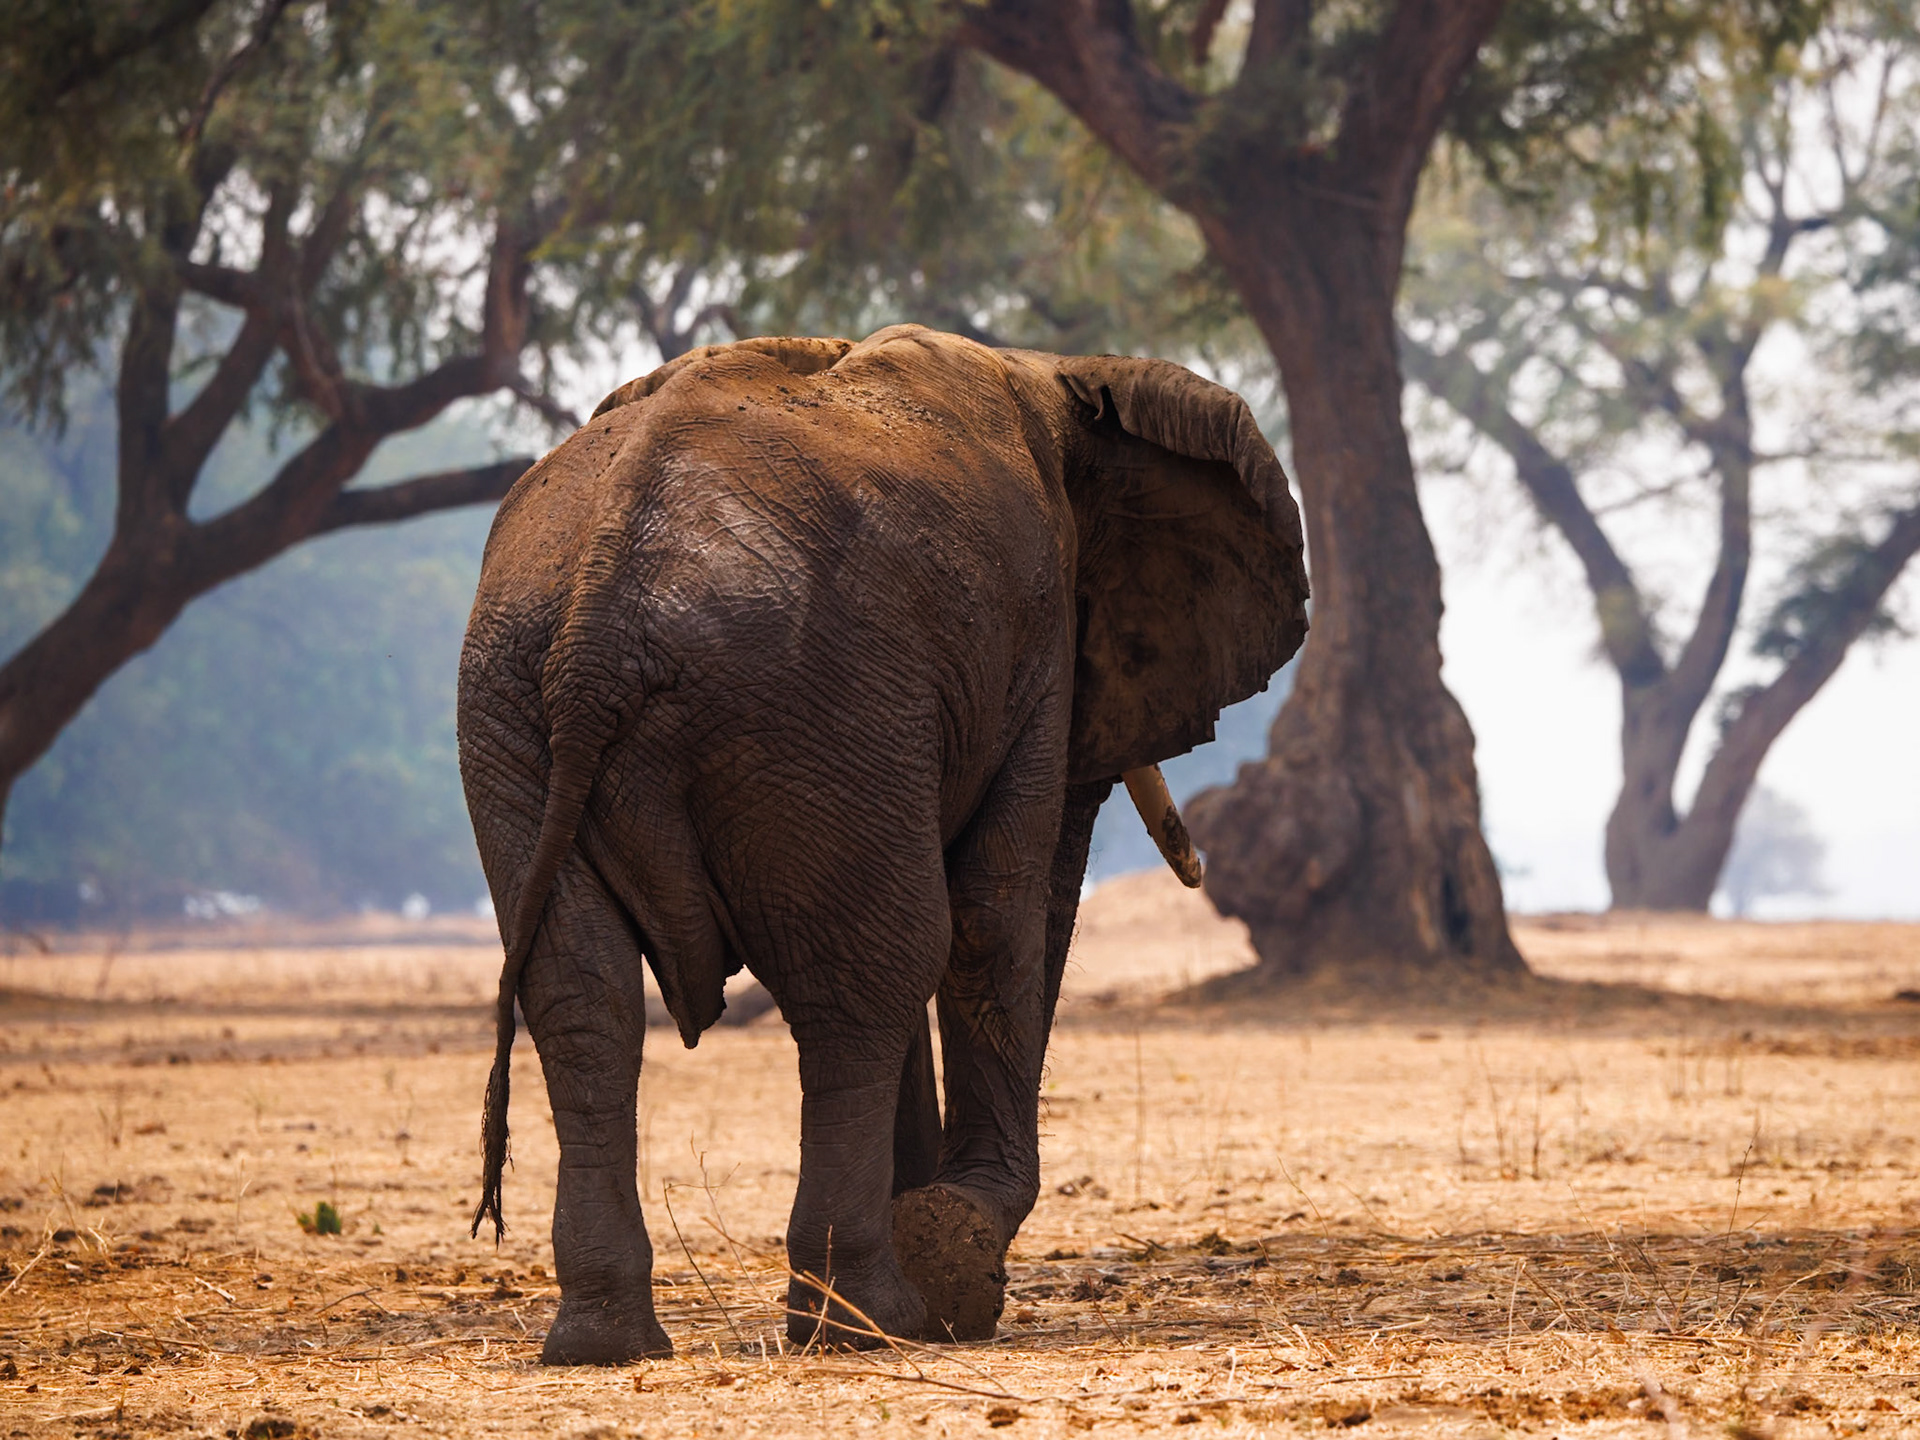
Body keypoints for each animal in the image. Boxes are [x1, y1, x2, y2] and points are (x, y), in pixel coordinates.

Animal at [456, 324, 1307, 1364]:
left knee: (587, 995)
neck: (1055, 374)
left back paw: (610, 1343)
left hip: (514, 712)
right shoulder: (1033, 644)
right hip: (810, 702)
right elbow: (995, 914)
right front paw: (954, 1247)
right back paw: (867, 1323)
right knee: (871, 974)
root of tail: (593, 632)